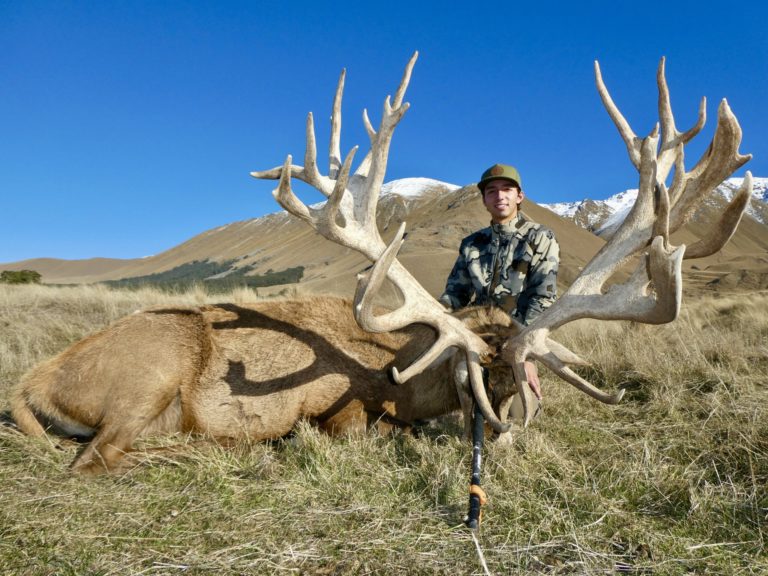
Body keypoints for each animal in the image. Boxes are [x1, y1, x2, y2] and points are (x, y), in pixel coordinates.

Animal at [10, 52, 752, 475]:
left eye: (523, 379)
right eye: (475, 380)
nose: (504, 434)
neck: (401, 368)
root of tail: (31, 384)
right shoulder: (334, 410)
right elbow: (356, 428)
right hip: (153, 372)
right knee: (93, 458)